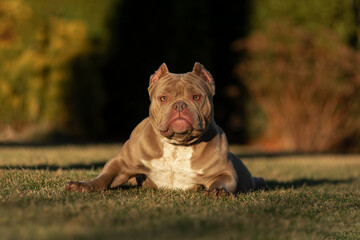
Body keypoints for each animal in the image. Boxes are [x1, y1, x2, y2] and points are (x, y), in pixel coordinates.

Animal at [65, 62, 268, 196]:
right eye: (163, 98)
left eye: (196, 97)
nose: (179, 105)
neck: (177, 145)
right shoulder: (121, 163)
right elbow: (104, 177)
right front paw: (84, 185)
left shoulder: (224, 172)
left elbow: (222, 180)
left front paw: (217, 190)